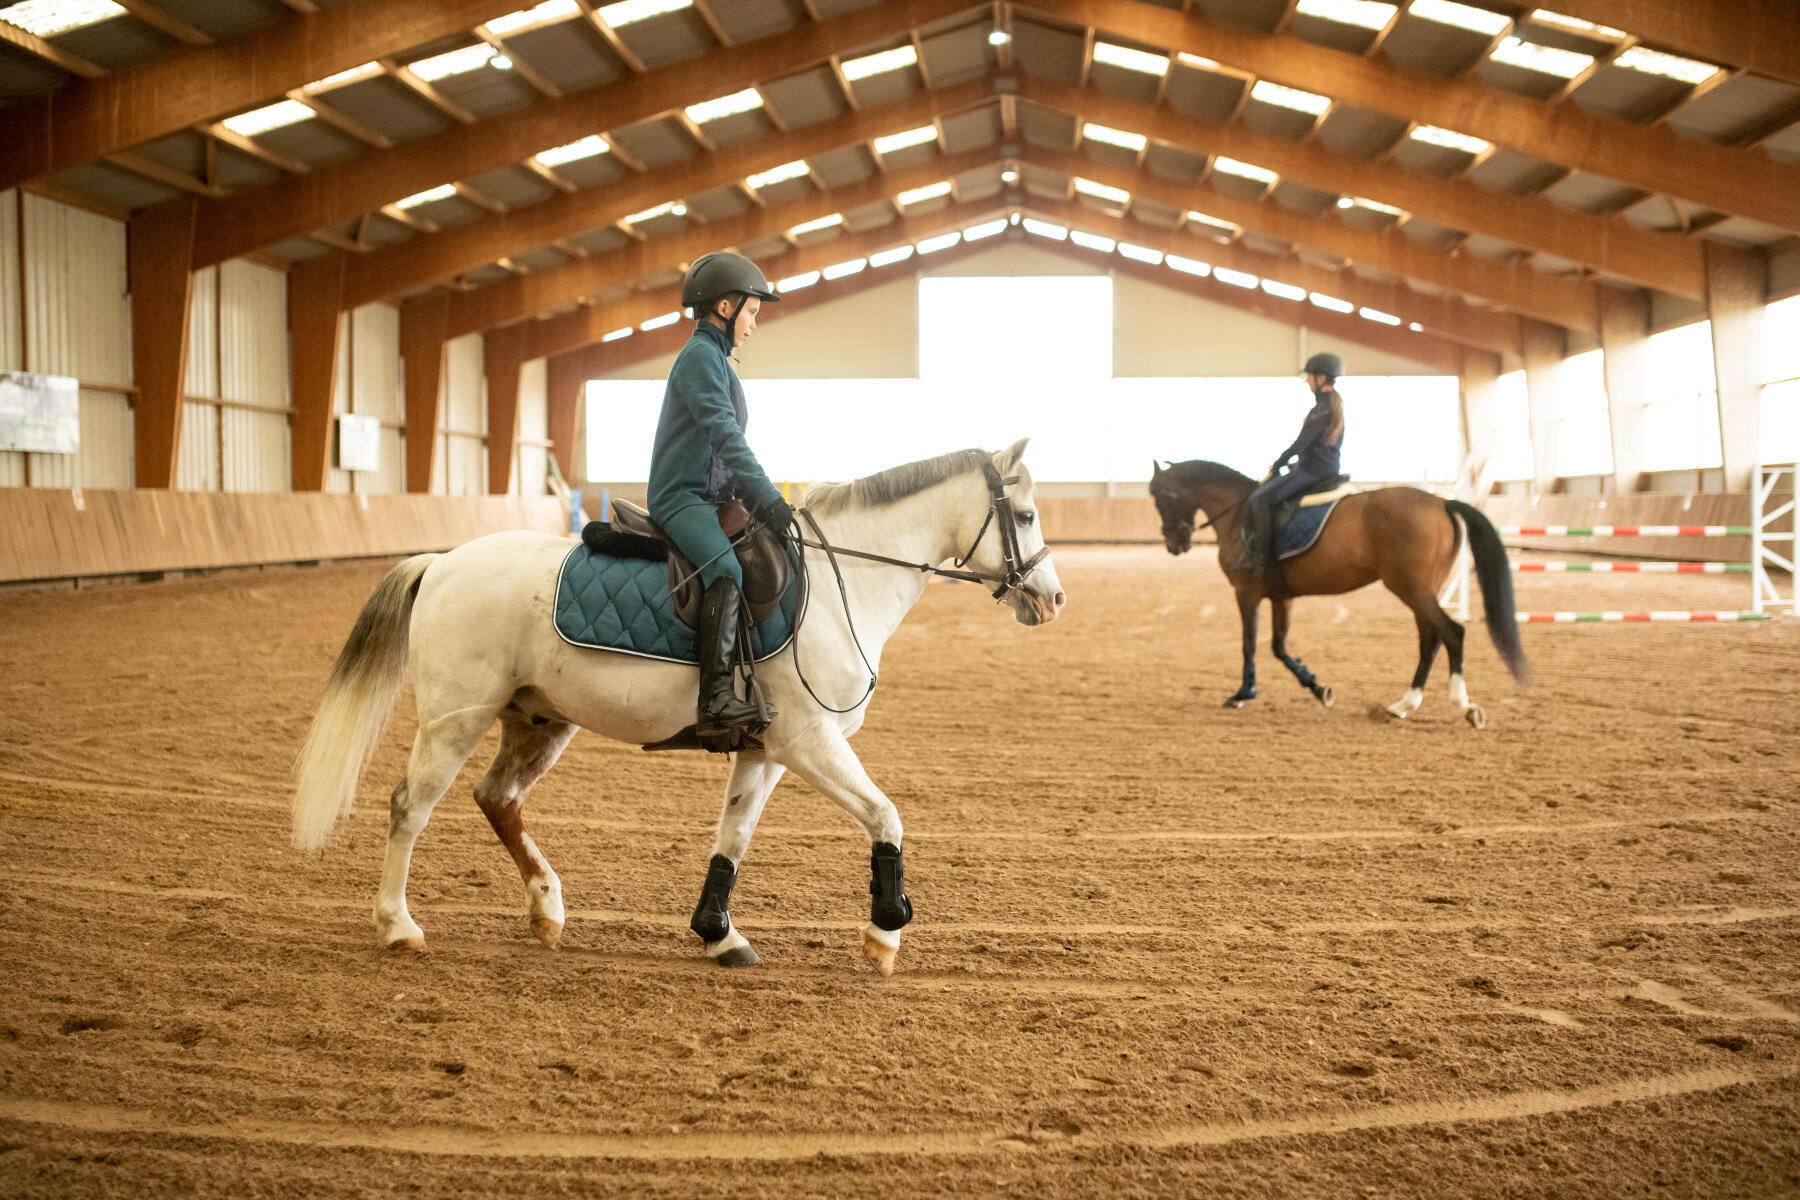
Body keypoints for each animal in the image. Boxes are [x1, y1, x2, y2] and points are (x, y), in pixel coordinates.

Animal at [288, 440, 1058, 978]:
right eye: (1023, 515)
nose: (1053, 599)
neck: (846, 577)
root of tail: (442, 562)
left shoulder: (766, 750)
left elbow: (733, 838)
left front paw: (720, 935)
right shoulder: (810, 742)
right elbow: (885, 815)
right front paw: (885, 932)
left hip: (538, 721)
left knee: (497, 798)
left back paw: (547, 909)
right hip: (455, 720)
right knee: (408, 808)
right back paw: (399, 926)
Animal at [1144, 456, 1526, 723]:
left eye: (1159, 496)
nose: (1174, 544)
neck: (1238, 513)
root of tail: (1440, 502)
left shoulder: (1246, 593)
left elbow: (1249, 644)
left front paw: (1242, 693)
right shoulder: (1282, 597)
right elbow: (1279, 647)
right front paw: (1318, 688)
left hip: (1411, 588)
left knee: (1451, 632)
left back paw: (1463, 705)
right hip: (1421, 590)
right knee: (1430, 639)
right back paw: (1404, 704)